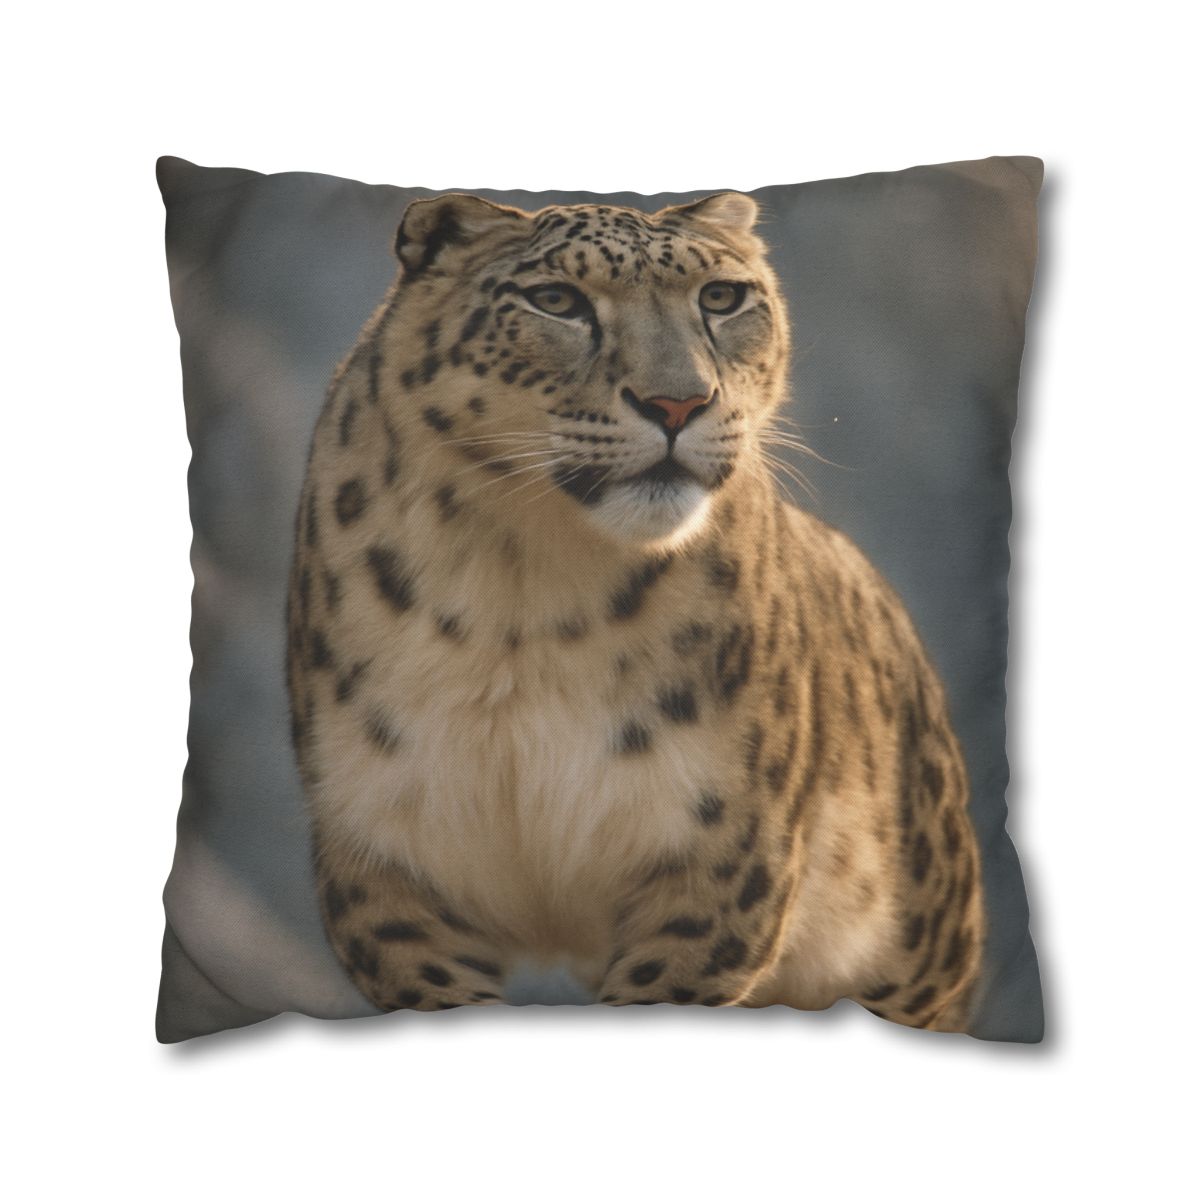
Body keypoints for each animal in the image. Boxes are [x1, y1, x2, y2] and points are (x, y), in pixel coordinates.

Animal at [285, 189, 984, 1032]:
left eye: (721, 298)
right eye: (557, 301)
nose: (677, 402)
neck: (522, 589)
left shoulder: (722, 857)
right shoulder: (386, 861)